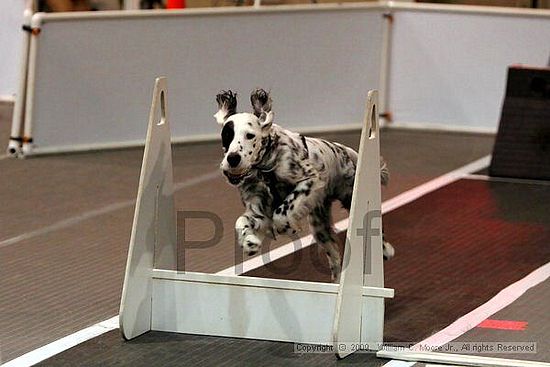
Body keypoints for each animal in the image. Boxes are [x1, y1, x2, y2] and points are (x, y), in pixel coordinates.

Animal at [217, 88, 396, 282]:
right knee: (334, 256)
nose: (233, 159)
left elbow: (281, 213)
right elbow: (241, 221)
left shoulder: (309, 179)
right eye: (227, 135)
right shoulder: (258, 207)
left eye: (250, 135)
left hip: (350, 197)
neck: (266, 167)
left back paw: (386, 250)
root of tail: (348, 152)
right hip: (320, 227)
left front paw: (287, 228)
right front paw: (250, 242)